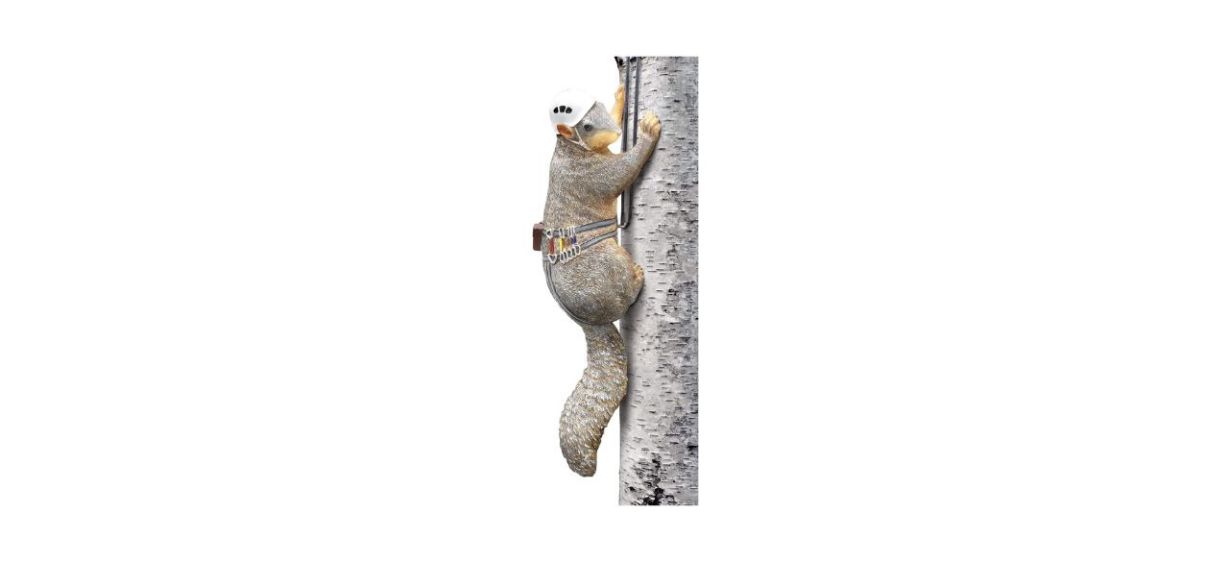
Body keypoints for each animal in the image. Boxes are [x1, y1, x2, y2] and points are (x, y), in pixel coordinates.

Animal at [541, 84, 661, 476]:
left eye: (595, 108)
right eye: (587, 126)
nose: (617, 130)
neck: (570, 150)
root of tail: (587, 321)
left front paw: (622, 95)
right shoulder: (590, 177)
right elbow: (623, 171)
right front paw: (648, 130)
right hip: (610, 266)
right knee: (626, 295)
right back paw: (636, 278)